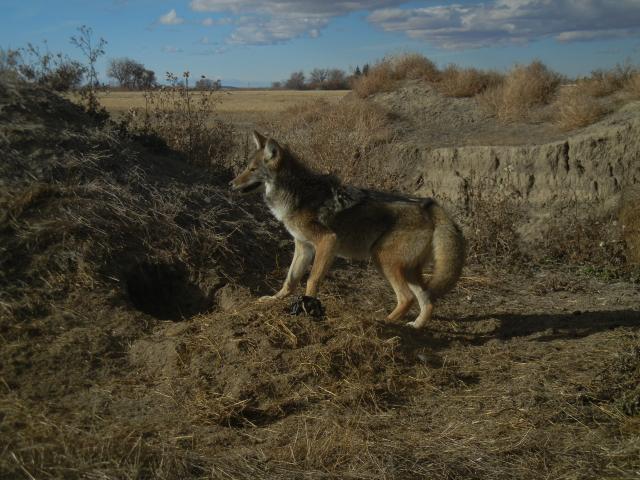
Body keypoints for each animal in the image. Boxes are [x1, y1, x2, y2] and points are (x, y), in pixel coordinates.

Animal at [229, 131, 465, 329]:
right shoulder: (303, 247)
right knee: (427, 301)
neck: (297, 195)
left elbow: (311, 280)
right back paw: (415, 326)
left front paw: (308, 309)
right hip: (406, 270)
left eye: (252, 169)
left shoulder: (327, 241)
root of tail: (430, 205)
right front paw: (273, 300)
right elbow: (290, 280)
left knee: (407, 298)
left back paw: (383, 322)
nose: (231, 184)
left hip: (382, 259)